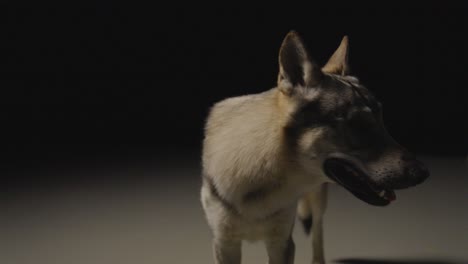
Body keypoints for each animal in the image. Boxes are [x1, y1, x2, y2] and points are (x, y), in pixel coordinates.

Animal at [199, 31, 430, 264]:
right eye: (359, 124)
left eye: (381, 119)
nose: (423, 173)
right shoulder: (224, 244)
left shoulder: (282, 242)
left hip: (319, 200)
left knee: (318, 230)